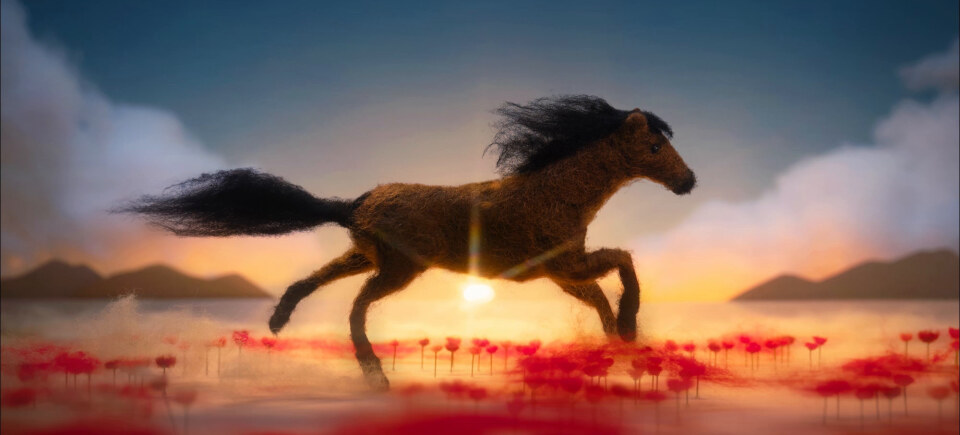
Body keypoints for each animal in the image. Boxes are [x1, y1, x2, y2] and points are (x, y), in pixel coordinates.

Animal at [120, 95, 697, 390]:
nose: (689, 181)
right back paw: (374, 374)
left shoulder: (562, 273)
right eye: (653, 147)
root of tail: (355, 204)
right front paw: (628, 329)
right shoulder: (568, 265)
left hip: (362, 255)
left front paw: (618, 346)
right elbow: (623, 263)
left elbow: (602, 294)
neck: (556, 190)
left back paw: (279, 322)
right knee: (356, 309)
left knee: (313, 281)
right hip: (397, 268)